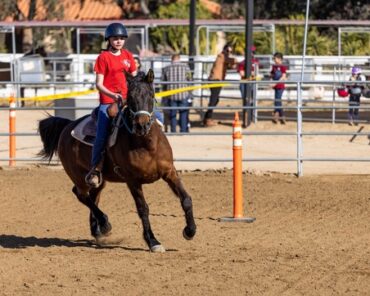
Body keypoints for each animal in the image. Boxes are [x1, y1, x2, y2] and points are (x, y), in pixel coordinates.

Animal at [38, 69, 197, 252]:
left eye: (150, 95)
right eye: (130, 97)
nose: (141, 126)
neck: (147, 145)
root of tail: (67, 126)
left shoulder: (169, 172)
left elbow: (186, 199)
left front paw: (190, 231)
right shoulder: (132, 180)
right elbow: (143, 208)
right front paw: (153, 241)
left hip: (99, 180)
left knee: (93, 197)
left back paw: (98, 230)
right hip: (78, 176)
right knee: (81, 195)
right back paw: (105, 223)